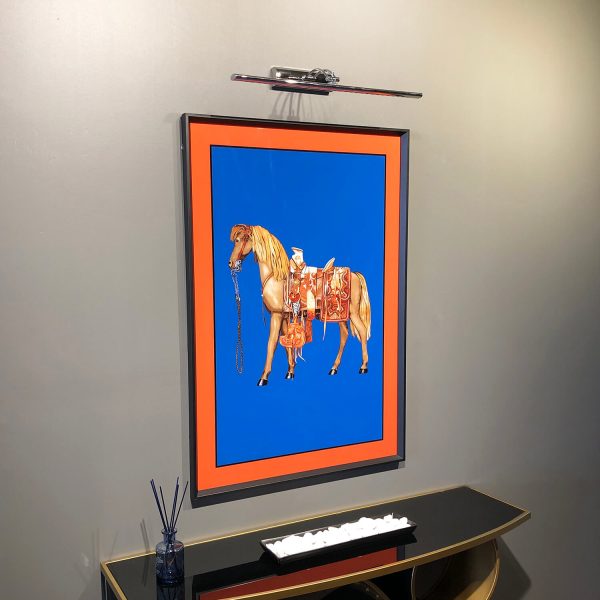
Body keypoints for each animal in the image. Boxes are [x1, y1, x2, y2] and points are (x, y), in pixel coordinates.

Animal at [228, 224, 372, 387]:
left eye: (238, 240)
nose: (231, 263)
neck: (275, 277)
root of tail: (354, 274)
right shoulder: (285, 316)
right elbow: (287, 343)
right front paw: (290, 371)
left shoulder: (276, 315)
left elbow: (271, 343)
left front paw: (264, 377)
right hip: (338, 315)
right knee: (344, 335)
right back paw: (334, 368)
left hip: (352, 313)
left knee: (362, 331)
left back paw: (363, 366)